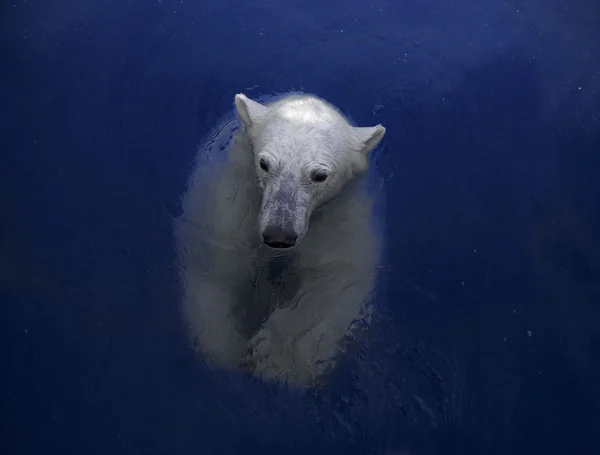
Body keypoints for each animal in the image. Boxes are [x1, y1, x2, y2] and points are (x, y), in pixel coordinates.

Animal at [176, 92, 386, 388]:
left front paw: (276, 358)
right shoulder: (230, 200)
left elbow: (334, 277)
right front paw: (224, 346)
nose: (279, 235)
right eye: (264, 163)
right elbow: (219, 266)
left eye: (320, 175)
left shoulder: (341, 217)